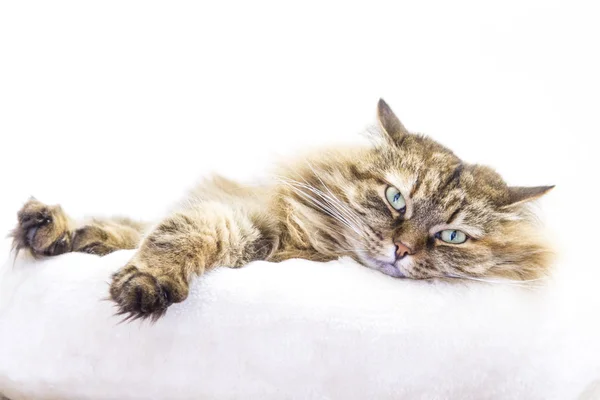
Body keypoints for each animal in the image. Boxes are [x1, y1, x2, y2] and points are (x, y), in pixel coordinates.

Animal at [9, 101, 552, 322]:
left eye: (452, 236)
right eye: (396, 198)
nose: (401, 249)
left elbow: (168, 230)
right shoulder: (243, 216)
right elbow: (177, 228)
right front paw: (148, 280)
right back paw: (48, 227)